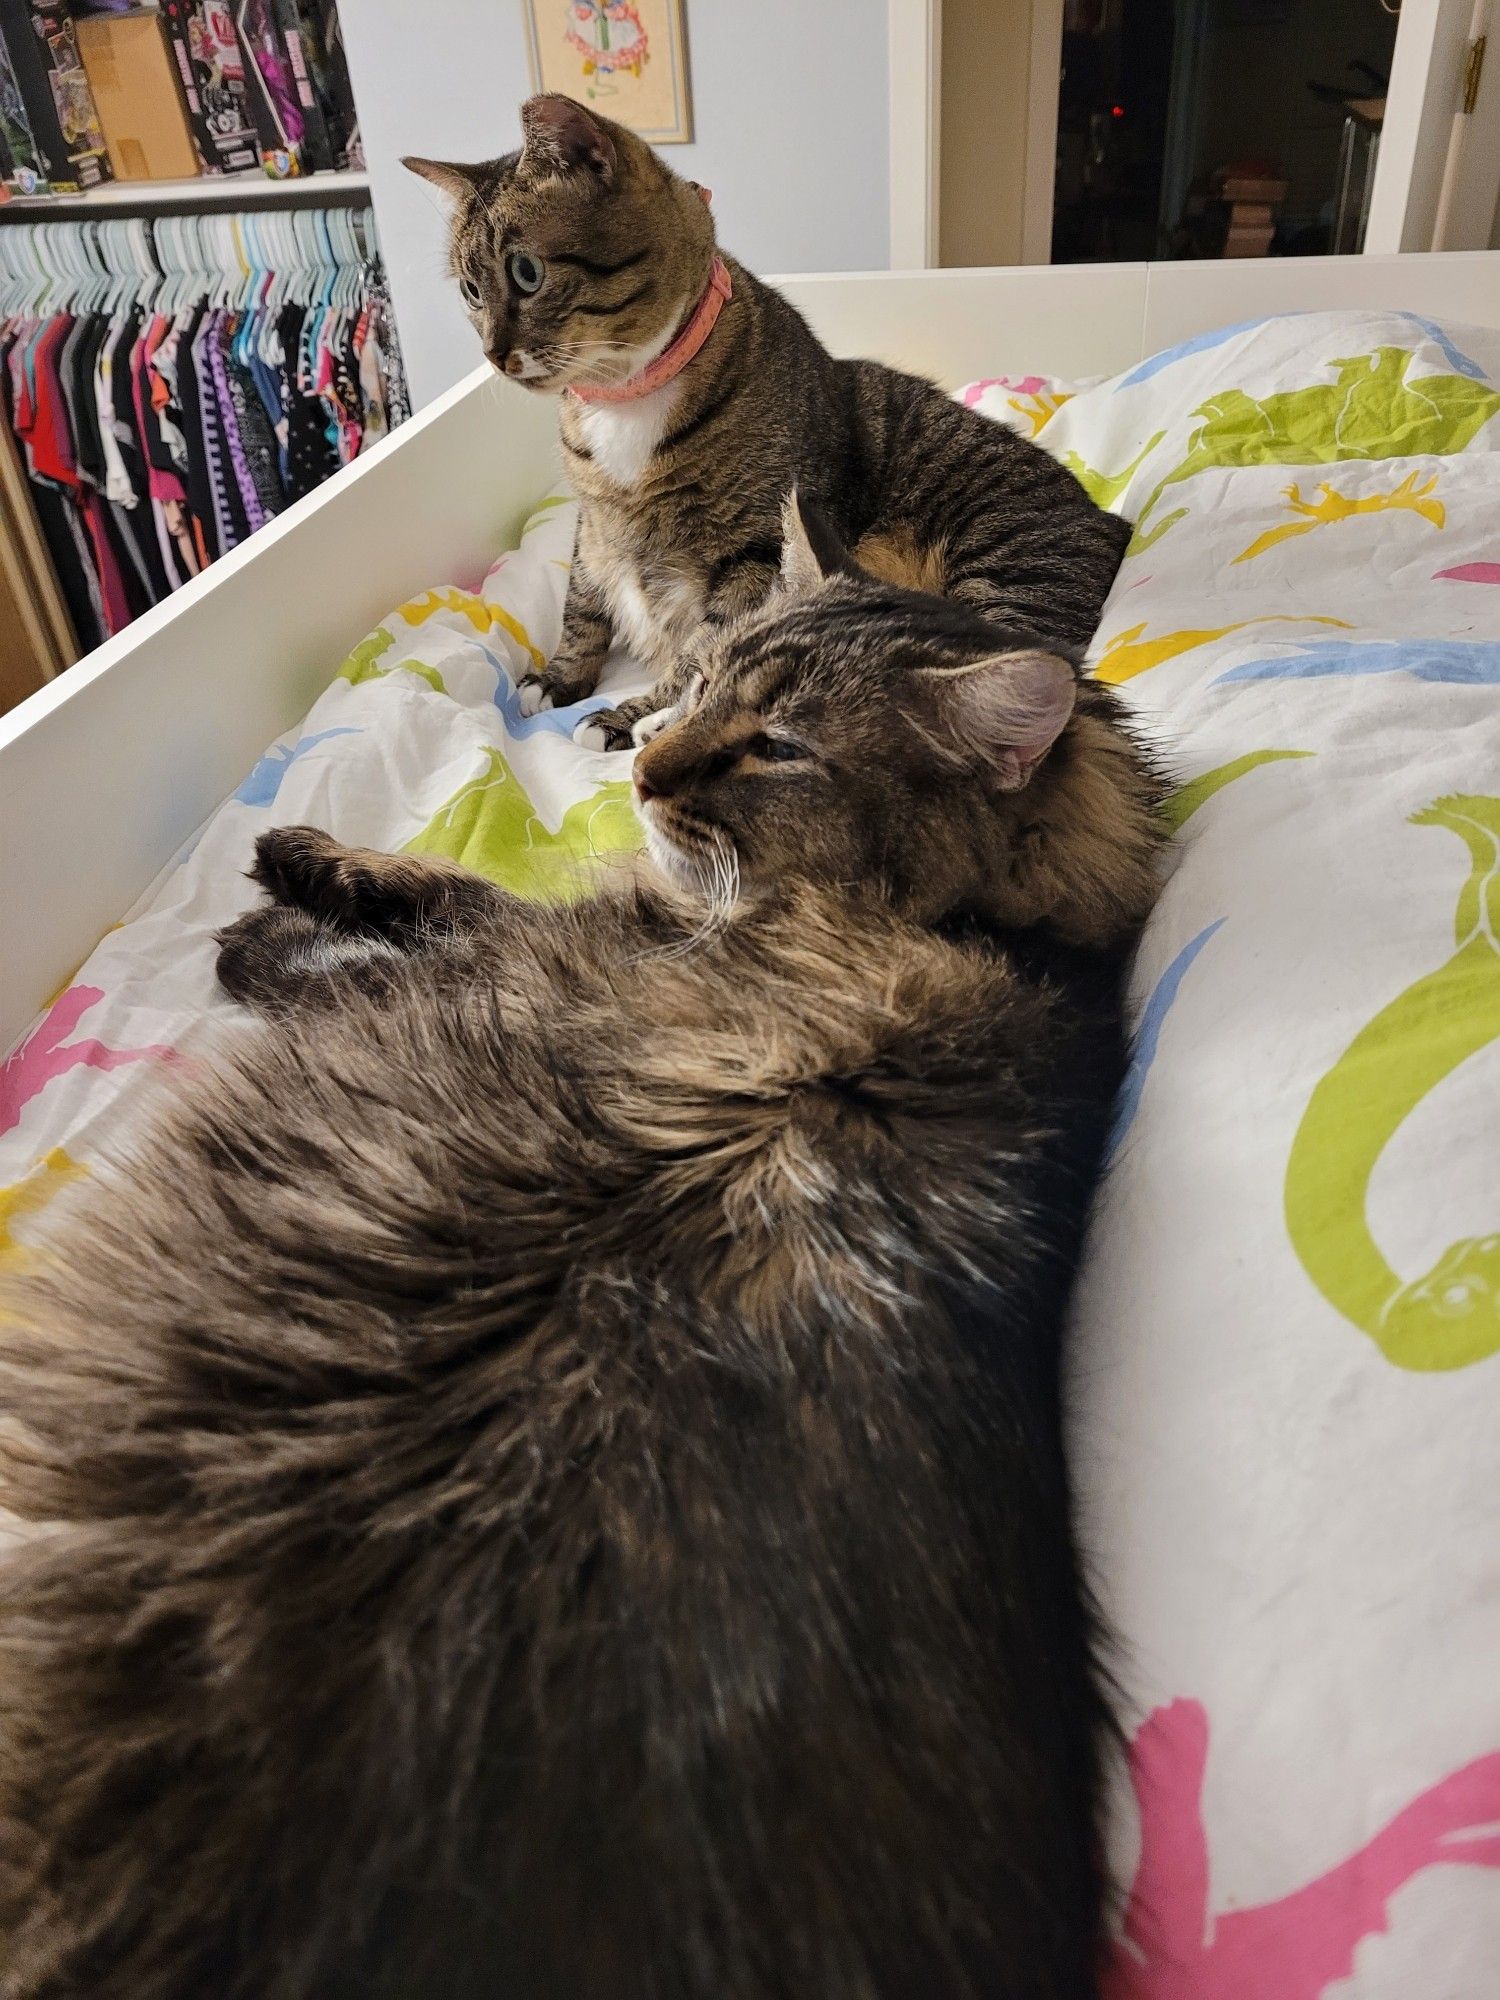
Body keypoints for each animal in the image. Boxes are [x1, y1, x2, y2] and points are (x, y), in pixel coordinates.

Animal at [0, 504, 1168, 2000]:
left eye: (779, 747)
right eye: (700, 685)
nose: (648, 769)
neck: (1016, 935)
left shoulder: (565, 950)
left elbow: (433, 906)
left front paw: (282, 895)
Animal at [406, 92, 1136, 752]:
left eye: (527, 273)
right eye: (471, 292)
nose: (491, 355)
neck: (623, 395)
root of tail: (1111, 521)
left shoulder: (753, 551)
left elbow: (706, 644)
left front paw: (632, 713)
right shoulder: (593, 523)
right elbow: (582, 601)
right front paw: (561, 679)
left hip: (1004, 571)